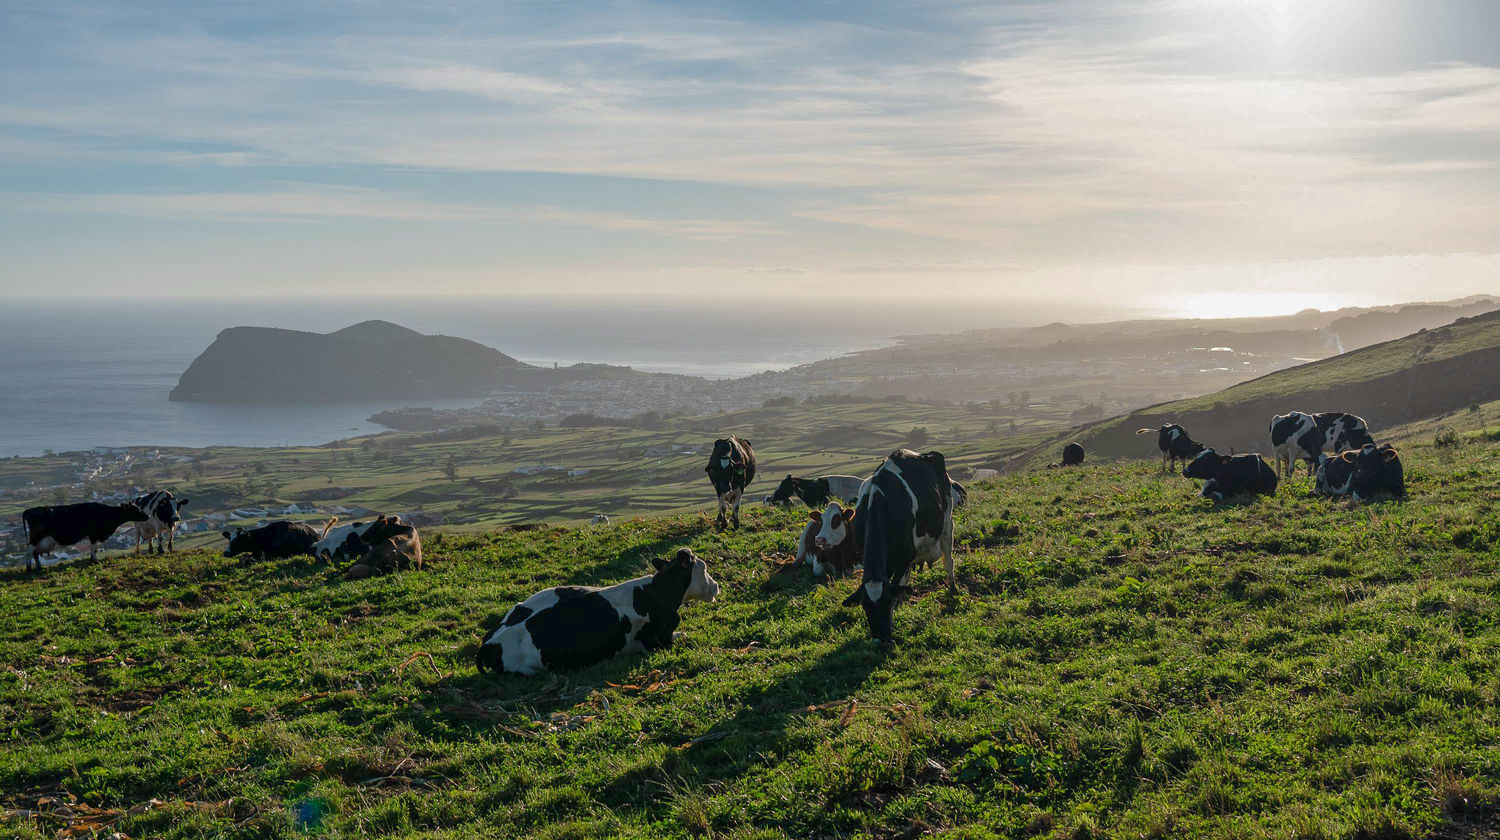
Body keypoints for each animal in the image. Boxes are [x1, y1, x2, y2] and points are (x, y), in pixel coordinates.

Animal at [474, 546, 720, 675]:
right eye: (704, 567)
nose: (716, 585)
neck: (654, 593)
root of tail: (488, 643)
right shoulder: (658, 642)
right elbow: (680, 635)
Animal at [828, 453, 954, 642]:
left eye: (887, 603)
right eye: (865, 607)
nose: (881, 640)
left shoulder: (904, 557)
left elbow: (896, 586)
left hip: (947, 521)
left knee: (948, 561)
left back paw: (953, 589)